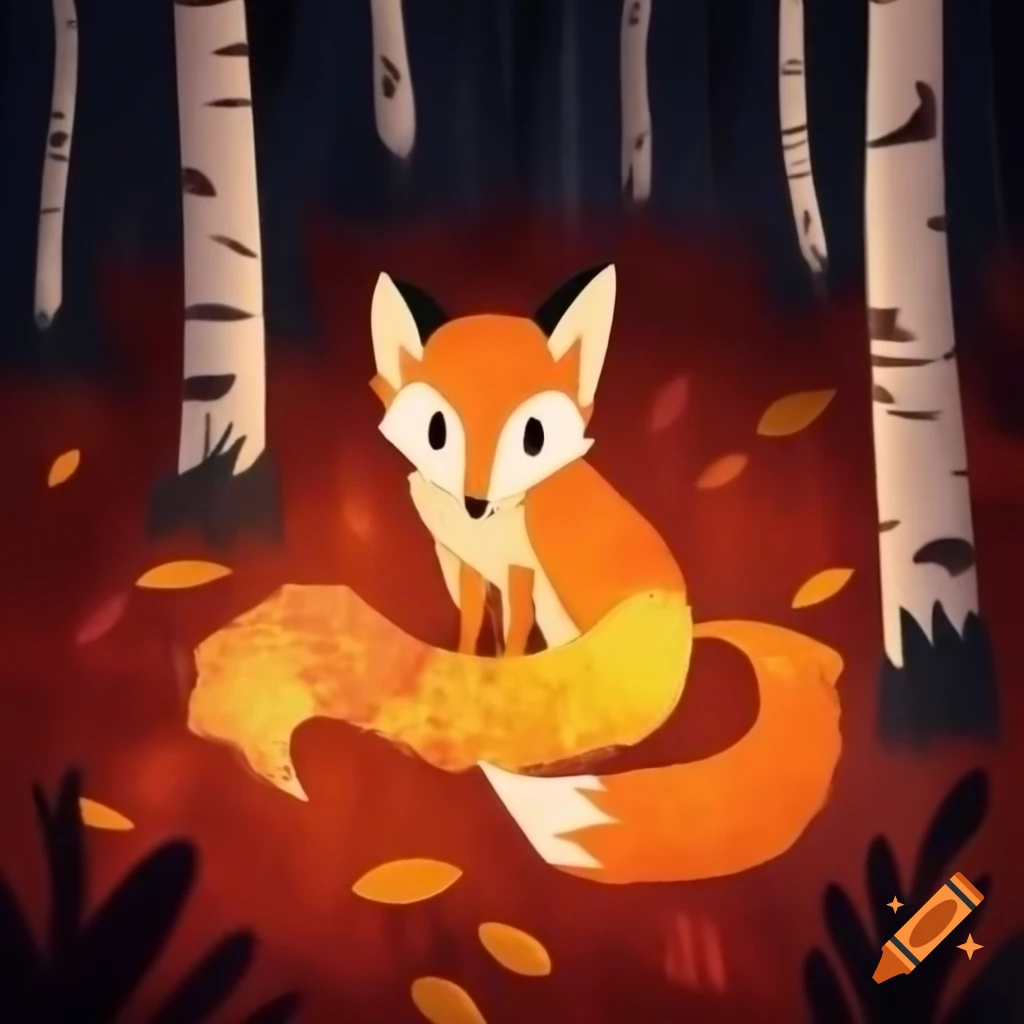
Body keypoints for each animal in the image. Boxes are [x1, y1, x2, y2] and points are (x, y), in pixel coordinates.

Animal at [365, 262, 844, 885]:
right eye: (437, 431)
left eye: (533, 438)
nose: (476, 503)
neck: (485, 530)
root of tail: (686, 628)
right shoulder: (462, 564)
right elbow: (472, 629)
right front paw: (463, 671)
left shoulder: (521, 572)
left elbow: (511, 643)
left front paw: (492, 692)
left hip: (569, 617)